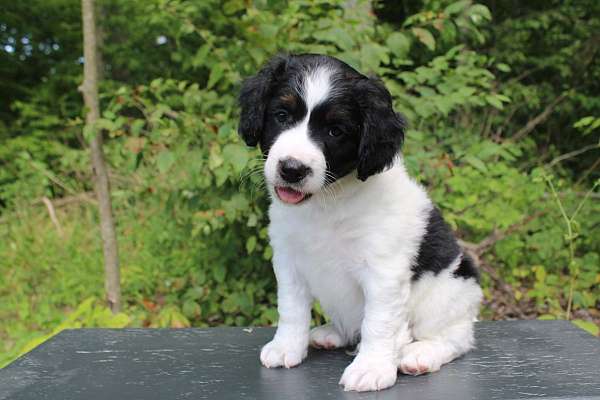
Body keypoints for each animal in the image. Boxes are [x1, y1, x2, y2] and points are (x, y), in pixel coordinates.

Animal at [237, 54, 480, 392]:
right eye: (282, 115)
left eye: (335, 131)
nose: (292, 169)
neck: (327, 203)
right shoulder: (289, 261)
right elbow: (291, 309)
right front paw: (286, 347)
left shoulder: (384, 272)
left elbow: (378, 323)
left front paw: (372, 368)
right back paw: (330, 334)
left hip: (450, 292)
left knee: (455, 338)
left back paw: (419, 353)